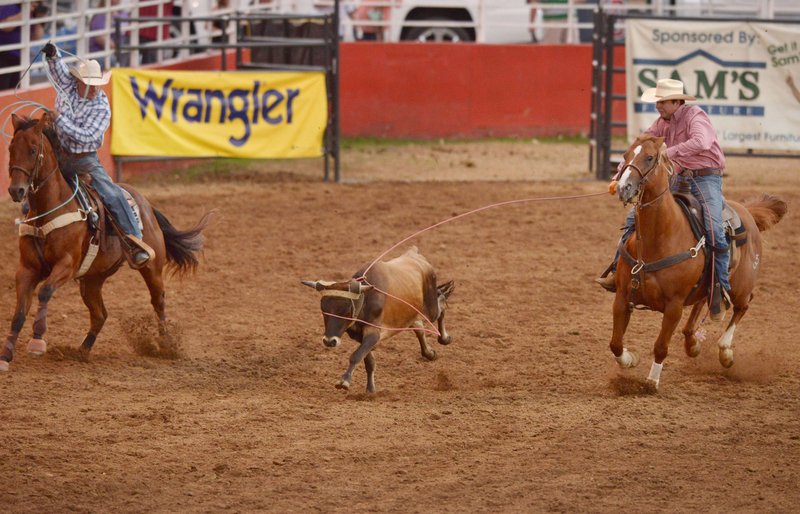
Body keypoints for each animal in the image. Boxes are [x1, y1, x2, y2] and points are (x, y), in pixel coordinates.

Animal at [3, 111, 209, 368]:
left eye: (32, 150)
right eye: (11, 148)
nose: (16, 191)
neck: (49, 210)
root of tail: (145, 203)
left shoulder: (67, 264)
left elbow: (45, 292)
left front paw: (37, 342)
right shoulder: (27, 269)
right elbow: (19, 313)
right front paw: (6, 355)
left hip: (152, 267)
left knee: (158, 301)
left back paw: (166, 345)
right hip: (92, 280)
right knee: (100, 314)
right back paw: (81, 351)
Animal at [608, 135, 784, 388]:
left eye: (649, 157)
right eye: (625, 155)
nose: (624, 188)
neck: (660, 237)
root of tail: (747, 212)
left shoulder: (674, 306)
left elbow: (660, 347)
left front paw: (652, 380)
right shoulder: (622, 296)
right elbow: (615, 343)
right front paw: (630, 359)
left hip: (741, 286)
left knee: (744, 305)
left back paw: (725, 351)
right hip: (707, 286)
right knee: (703, 303)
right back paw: (692, 343)